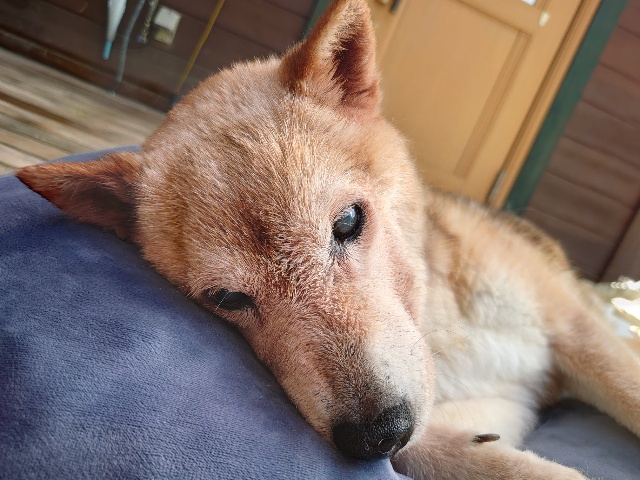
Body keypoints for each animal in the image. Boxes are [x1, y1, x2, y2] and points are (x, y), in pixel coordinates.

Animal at [16, 0, 640, 478]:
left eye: (347, 223)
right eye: (227, 298)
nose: (376, 434)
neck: (444, 332)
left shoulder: (580, 333)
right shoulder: (471, 418)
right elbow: (449, 455)